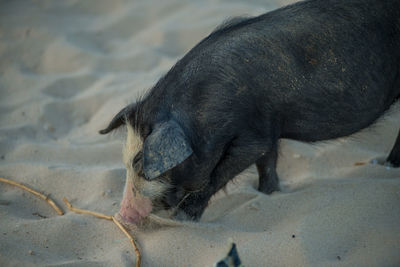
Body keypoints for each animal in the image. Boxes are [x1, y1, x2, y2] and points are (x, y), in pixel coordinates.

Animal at [99, 0, 400, 223]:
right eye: (126, 161)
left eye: (142, 164)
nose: (122, 215)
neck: (207, 108)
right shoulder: (267, 128)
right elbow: (268, 162)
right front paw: (269, 193)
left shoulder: (252, 136)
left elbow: (221, 173)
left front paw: (182, 218)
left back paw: (387, 165)